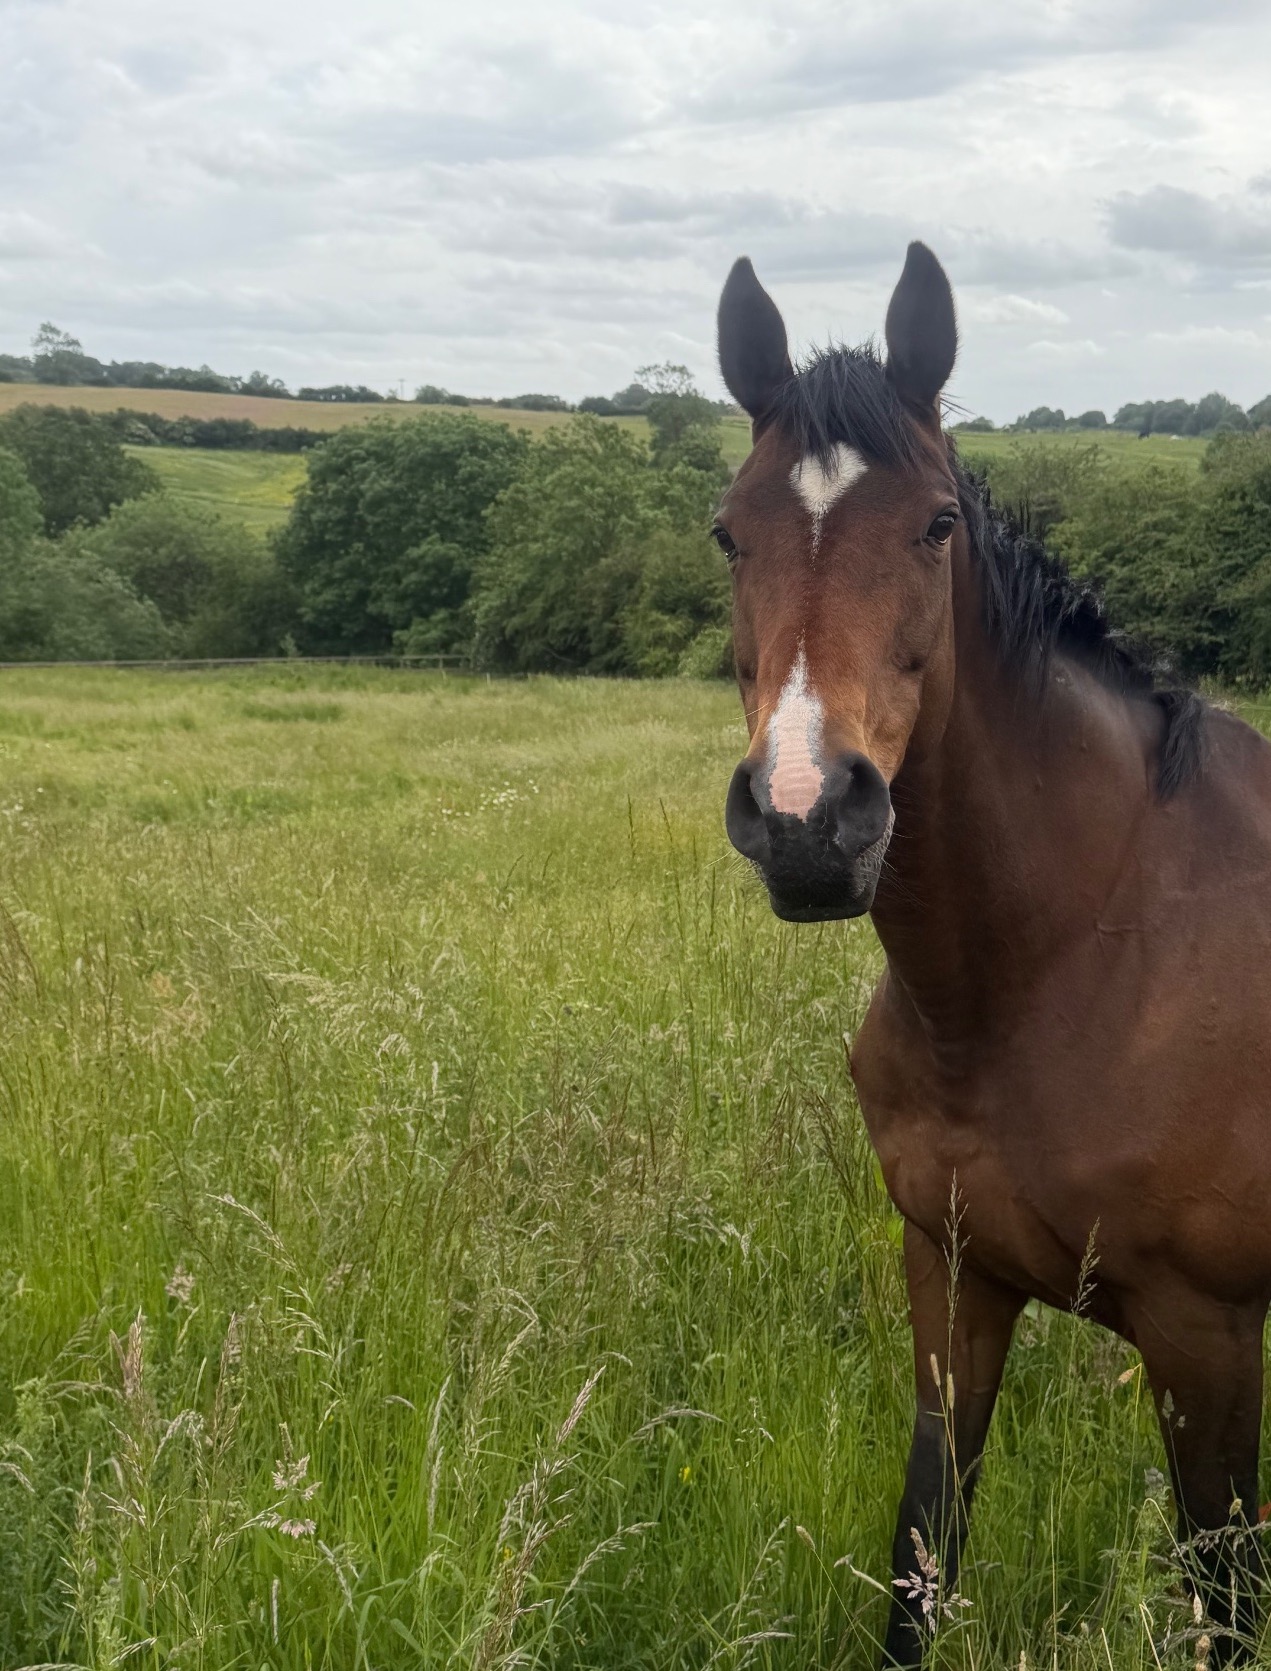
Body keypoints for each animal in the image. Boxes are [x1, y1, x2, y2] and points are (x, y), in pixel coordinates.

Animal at [713, 242, 1271, 1667]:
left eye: (935, 527)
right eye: (727, 531)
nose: (805, 819)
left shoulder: (1203, 1335)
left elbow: (1226, 1595)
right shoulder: (951, 1280)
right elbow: (923, 1554)